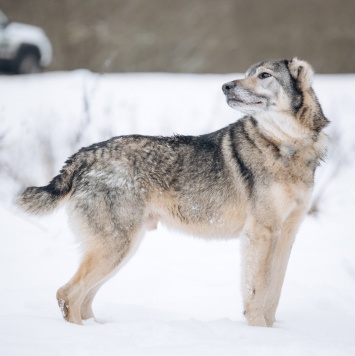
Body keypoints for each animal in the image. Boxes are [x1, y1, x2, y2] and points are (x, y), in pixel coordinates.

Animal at [16, 58, 328, 328]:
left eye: (264, 75)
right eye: (248, 73)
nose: (225, 86)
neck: (287, 145)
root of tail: (84, 155)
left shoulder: (286, 235)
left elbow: (273, 295)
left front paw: (271, 332)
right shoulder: (260, 234)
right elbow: (258, 293)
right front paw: (258, 333)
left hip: (122, 250)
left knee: (83, 299)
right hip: (116, 248)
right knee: (67, 294)